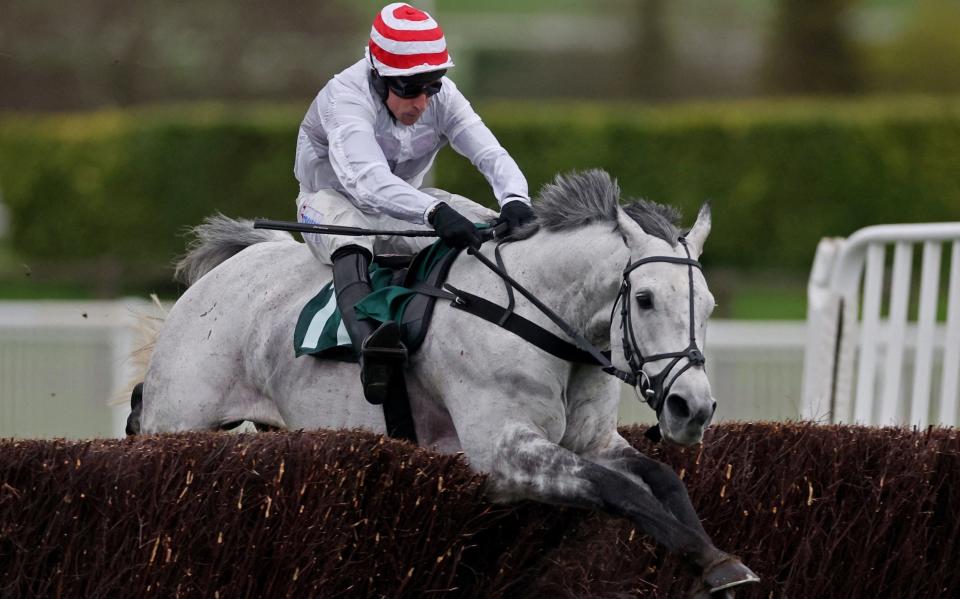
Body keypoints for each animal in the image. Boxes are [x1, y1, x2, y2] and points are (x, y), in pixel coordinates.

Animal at [131, 170, 756, 599]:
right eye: (645, 298)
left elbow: (661, 479)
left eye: (710, 305)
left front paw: (717, 560)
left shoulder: (593, 440)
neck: (537, 319)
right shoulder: (501, 455)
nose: (692, 407)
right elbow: (618, 490)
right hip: (180, 420)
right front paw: (712, 562)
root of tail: (220, 273)